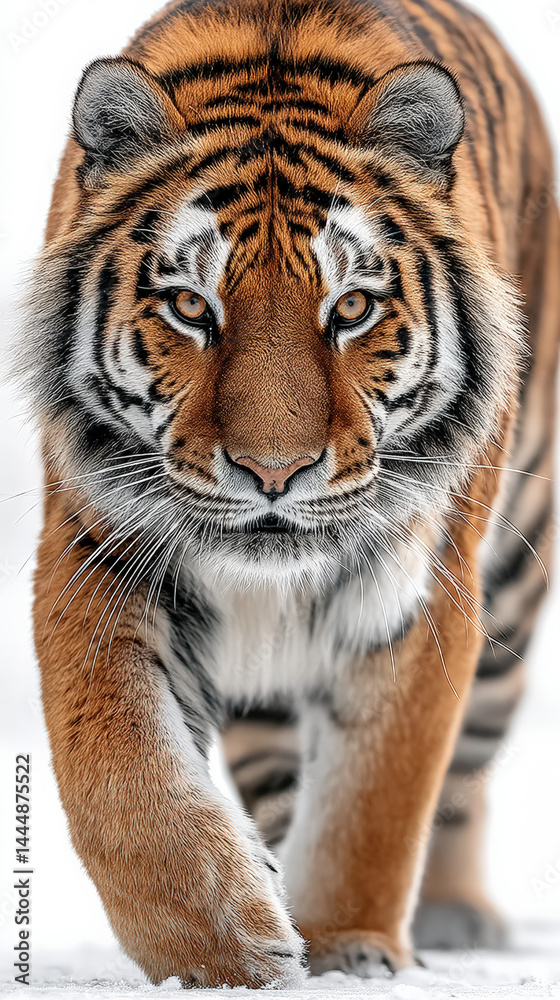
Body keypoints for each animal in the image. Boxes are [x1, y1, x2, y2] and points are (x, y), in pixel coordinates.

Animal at [20, 0, 559, 987]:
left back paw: (452, 910)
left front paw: (349, 942)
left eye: (350, 309)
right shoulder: (97, 555)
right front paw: (227, 950)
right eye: (191, 307)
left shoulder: (419, 592)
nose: (274, 474)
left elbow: (377, 796)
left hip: (514, 585)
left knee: (460, 776)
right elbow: (121, 780)